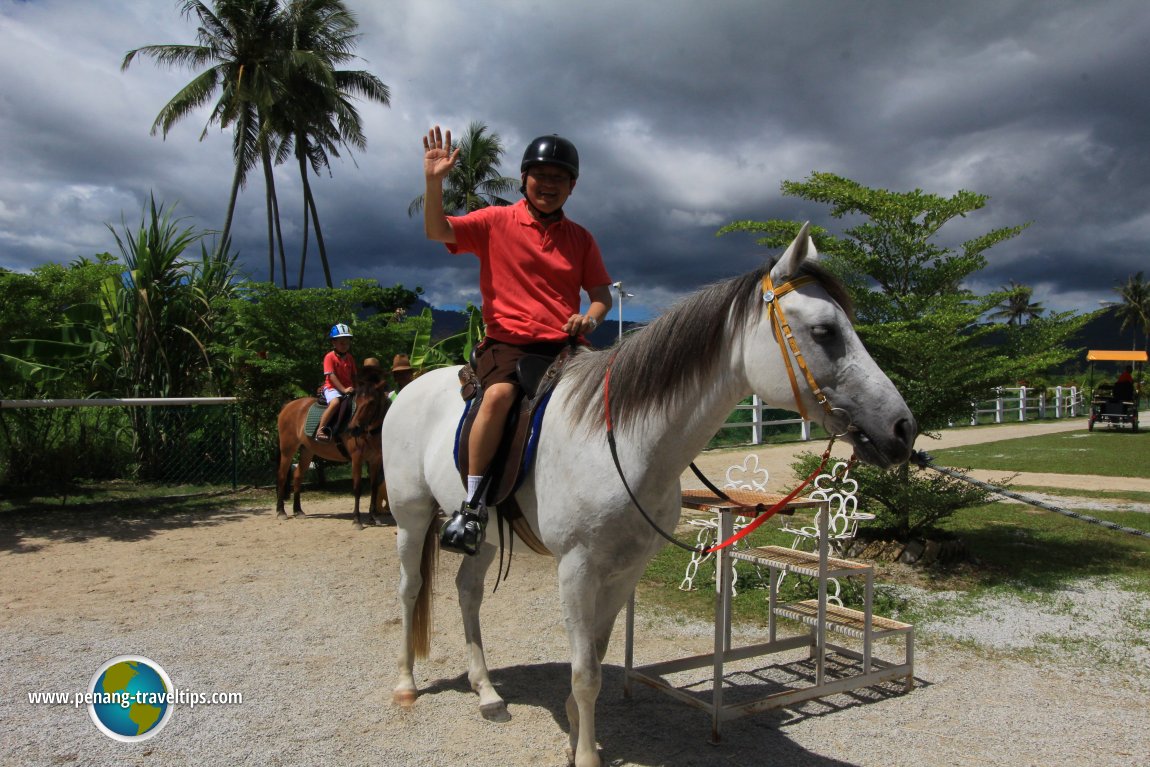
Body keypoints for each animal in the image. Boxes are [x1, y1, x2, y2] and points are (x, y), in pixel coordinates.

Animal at [277, 370, 391, 528]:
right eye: (357, 401)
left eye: (371, 402)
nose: (353, 428)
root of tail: (288, 406)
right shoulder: (357, 458)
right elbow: (357, 487)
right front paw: (357, 520)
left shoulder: (376, 459)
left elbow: (374, 487)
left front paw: (373, 517)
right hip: (288, 450)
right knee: (282, 476)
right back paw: (281, 511)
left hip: (307, 451)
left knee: (298, 475)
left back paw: (298, 510)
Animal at [381, 226, 910, 767]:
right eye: (825, 331)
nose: (901, 428)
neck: (625, 443)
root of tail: (410, 387)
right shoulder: (576, 569)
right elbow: (585, 671)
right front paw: (586, 755)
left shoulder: (626, 568)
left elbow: (596, 655)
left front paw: (577, 737)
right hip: (411, 516)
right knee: (410, 587)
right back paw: (406, 685)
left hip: (485, 536)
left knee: (467, 592)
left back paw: (487, 692)